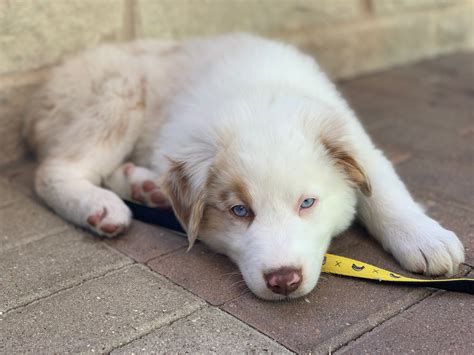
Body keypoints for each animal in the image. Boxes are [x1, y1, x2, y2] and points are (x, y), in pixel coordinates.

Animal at [24, 34, 464, 300]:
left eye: (307, 203)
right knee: (55, 170)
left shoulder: (353, 137)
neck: (258, 96)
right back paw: (99, 207)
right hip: (115, 96)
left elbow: (385, 190)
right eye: (239, 211)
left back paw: (143, 187)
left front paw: (425, 239)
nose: (283, 281)